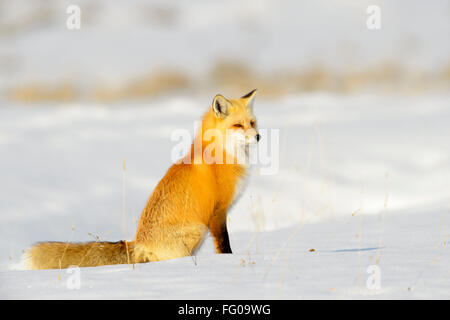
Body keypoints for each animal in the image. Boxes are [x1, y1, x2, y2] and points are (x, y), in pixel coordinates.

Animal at [27, 90, 260, 270]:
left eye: (252, 123)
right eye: (238, 125)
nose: (258, 136)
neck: (221, 153)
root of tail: (137, 242)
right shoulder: (218, 212)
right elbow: (224, 245)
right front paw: (228, 261)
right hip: (197, 229)